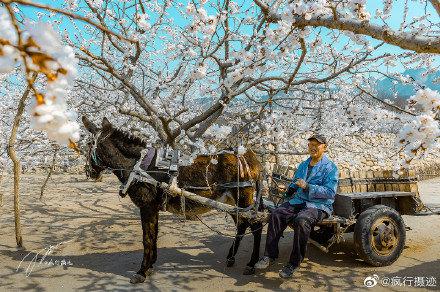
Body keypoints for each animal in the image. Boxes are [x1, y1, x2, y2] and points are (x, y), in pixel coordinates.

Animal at [83, 116, 264, 282]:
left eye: (89, 144)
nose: (89, 172)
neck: (139, 166)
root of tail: (250, 155)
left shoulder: (147, 206)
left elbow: (147, 238)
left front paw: (142, 272)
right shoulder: (153, 208)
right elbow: (153, 235)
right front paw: (151, 266)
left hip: (242, 198)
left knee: (256, 225)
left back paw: (252, 264)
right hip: (230, 202)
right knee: (241, 225)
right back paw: (231, 257)